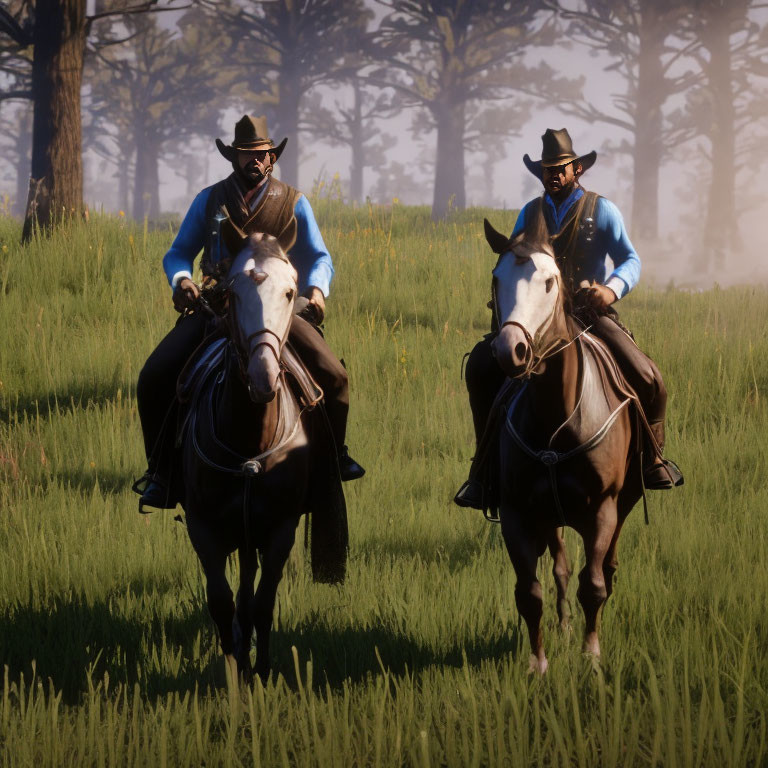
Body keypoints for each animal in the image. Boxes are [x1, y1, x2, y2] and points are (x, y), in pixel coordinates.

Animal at [488, 222, 644, 672]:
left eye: (549, 281)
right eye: (496, 279)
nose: (511, 350)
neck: (556, 417)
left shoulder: (603, 509)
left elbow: (593, 584)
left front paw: (591, 657)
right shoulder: (517, 513)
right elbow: (529, 593)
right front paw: (538, 665)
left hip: (625, 500)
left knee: (606, 566)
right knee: (559, 567)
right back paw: (563, 625)